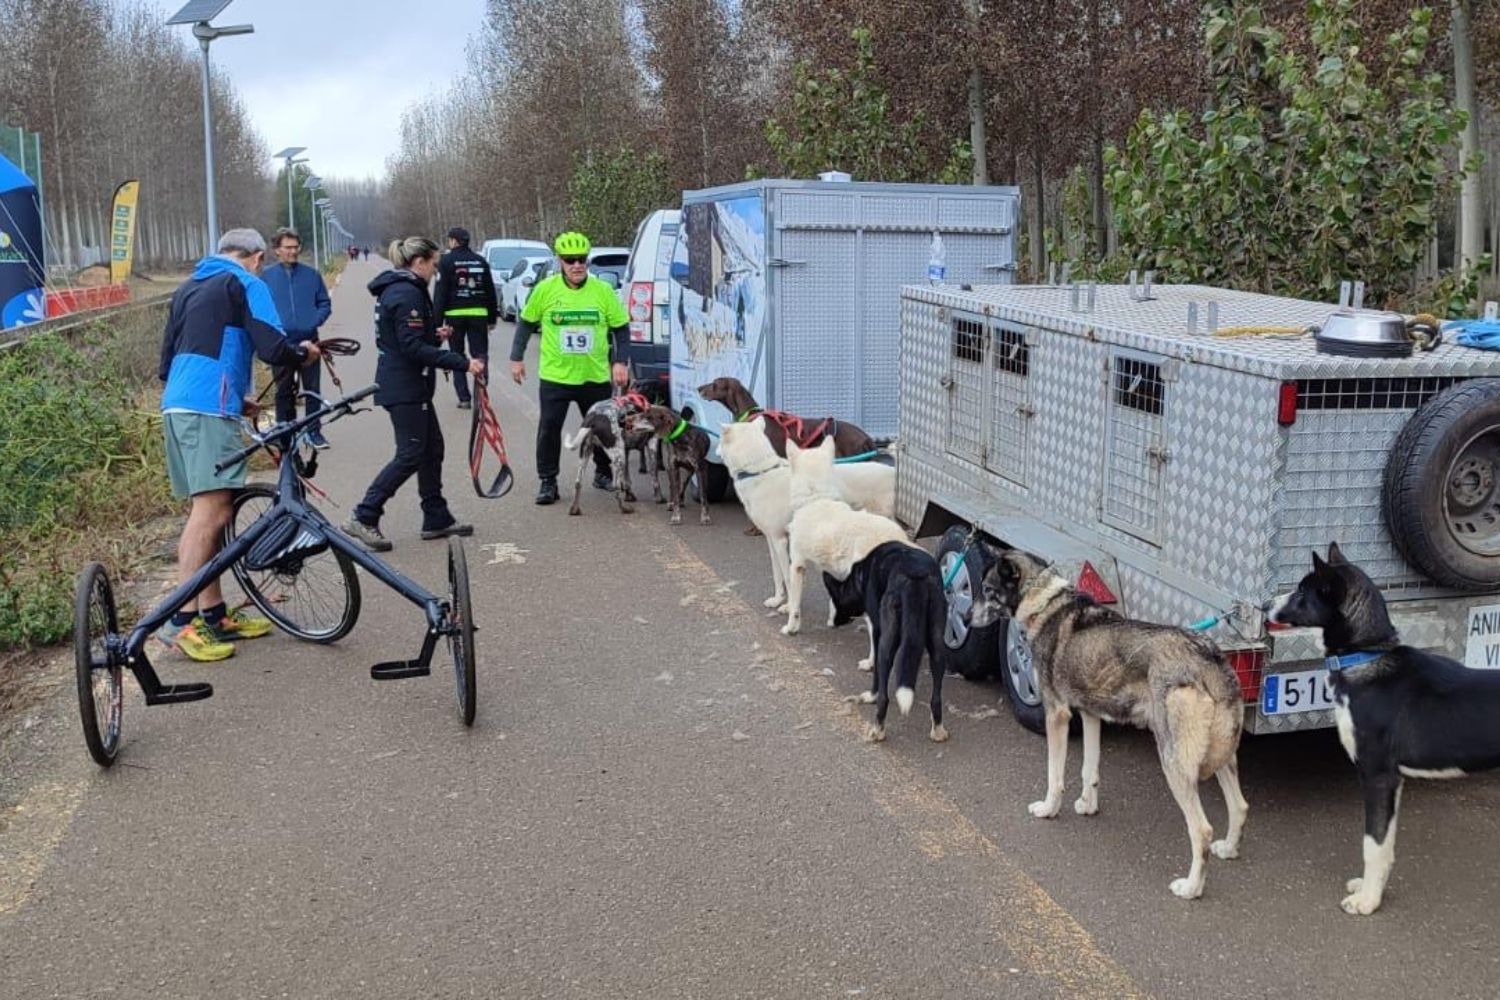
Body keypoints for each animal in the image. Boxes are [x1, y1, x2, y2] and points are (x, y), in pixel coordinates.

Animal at [720, 419, 894, 614]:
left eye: (719, 439)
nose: (716, 450)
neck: (760, 472)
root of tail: (893, 471)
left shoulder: (781, 541)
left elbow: (787, 577)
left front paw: (789, 606)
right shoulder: (771, 540)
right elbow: (777, 574)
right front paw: (777, 599)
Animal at [780, 437, 906, 632]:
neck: (816, 499)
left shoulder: (797, 566)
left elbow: (794, 605)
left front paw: (790, 628)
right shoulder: (833, 570)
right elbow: (833, 599)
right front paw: (833, 620)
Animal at [822, 539, 948, 743]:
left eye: (834, 600)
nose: (830, 623)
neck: (859, 577)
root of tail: (915, 576)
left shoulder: (878, 630)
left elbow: (876, 670)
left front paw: (871, 693)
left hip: (886, 645)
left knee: (884, 696)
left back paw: (877, 729)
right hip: (938, 644)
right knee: (936, 697)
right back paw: (938, 729)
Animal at [1272, 542, 1500, 917]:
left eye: (1303, 592)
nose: (1265, 605)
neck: (1365, 658)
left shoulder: (1378, 776)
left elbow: (1372, 845)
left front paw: (1367, 902)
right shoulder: (1395, 781)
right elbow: (1386, 846)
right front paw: (1371, 890)